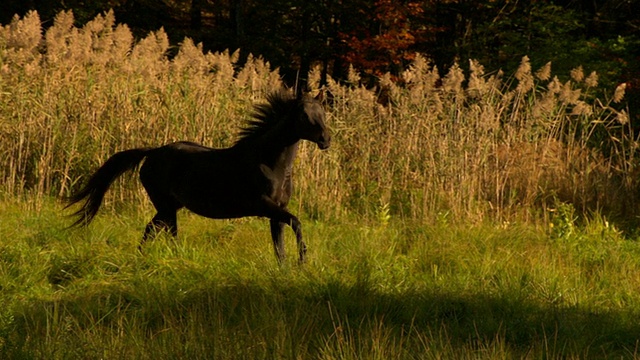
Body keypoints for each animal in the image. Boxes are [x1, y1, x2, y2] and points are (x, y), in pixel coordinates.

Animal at [66, 90, 330, 262]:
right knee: (164, 231)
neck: (269, 162)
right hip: (165, 206)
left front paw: (286, 268)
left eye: (323, 112)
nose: (326, 139)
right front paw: (303, 260)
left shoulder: (276, 211)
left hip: (170, 206)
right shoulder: (263, 205)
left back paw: (147, 257)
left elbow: (280, 245)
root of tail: (152, 152)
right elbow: (296, 222)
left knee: (154, 229)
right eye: (304, 115)